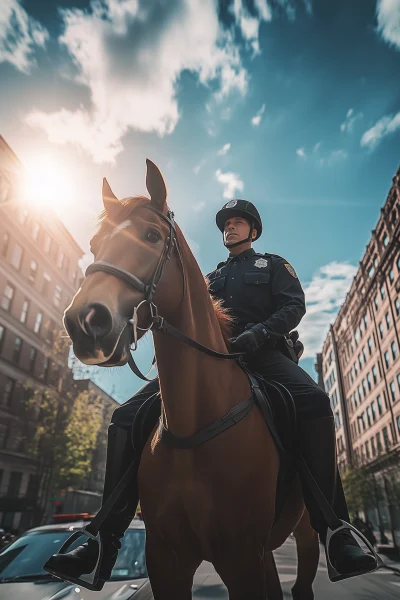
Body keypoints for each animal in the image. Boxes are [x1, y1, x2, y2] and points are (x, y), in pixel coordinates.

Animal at [63, 161, 318, 600]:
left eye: (151, 235)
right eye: (94, 243)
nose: (84, 321)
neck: (194, 423)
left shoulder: (241, 558)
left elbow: (291, 301)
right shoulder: (167, 560)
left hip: (304, 533)